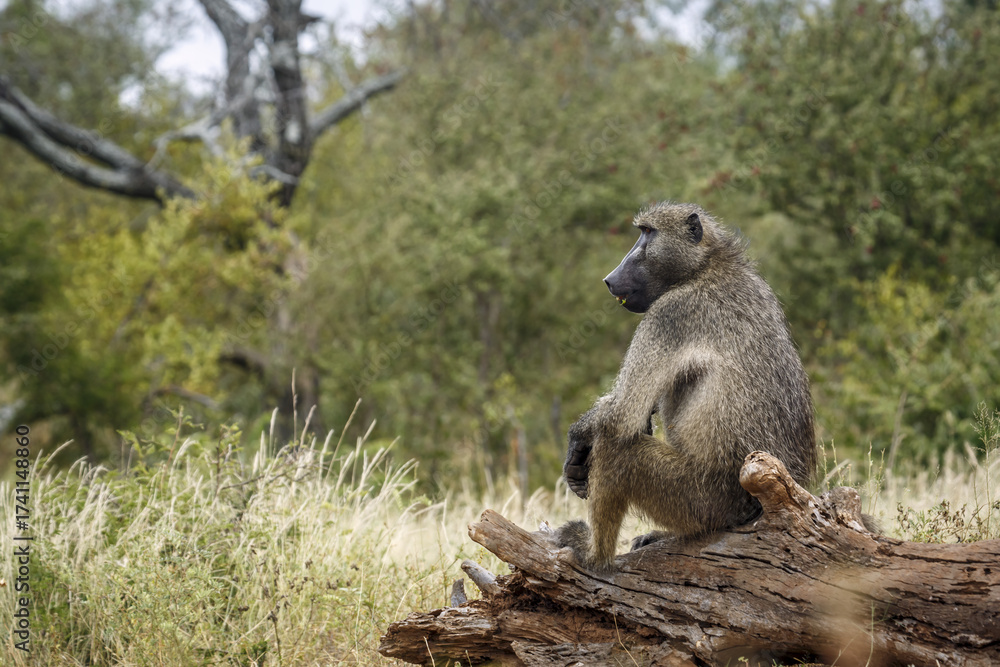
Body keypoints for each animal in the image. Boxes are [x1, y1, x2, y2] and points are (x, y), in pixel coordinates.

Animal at [557, 201, 817, 570]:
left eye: (647, 233)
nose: (609, 279)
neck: (706, 266)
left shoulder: (671, 314)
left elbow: (622, 416)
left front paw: (578, 439)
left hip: (701, 499)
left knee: (617, 447)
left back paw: (594, 554)